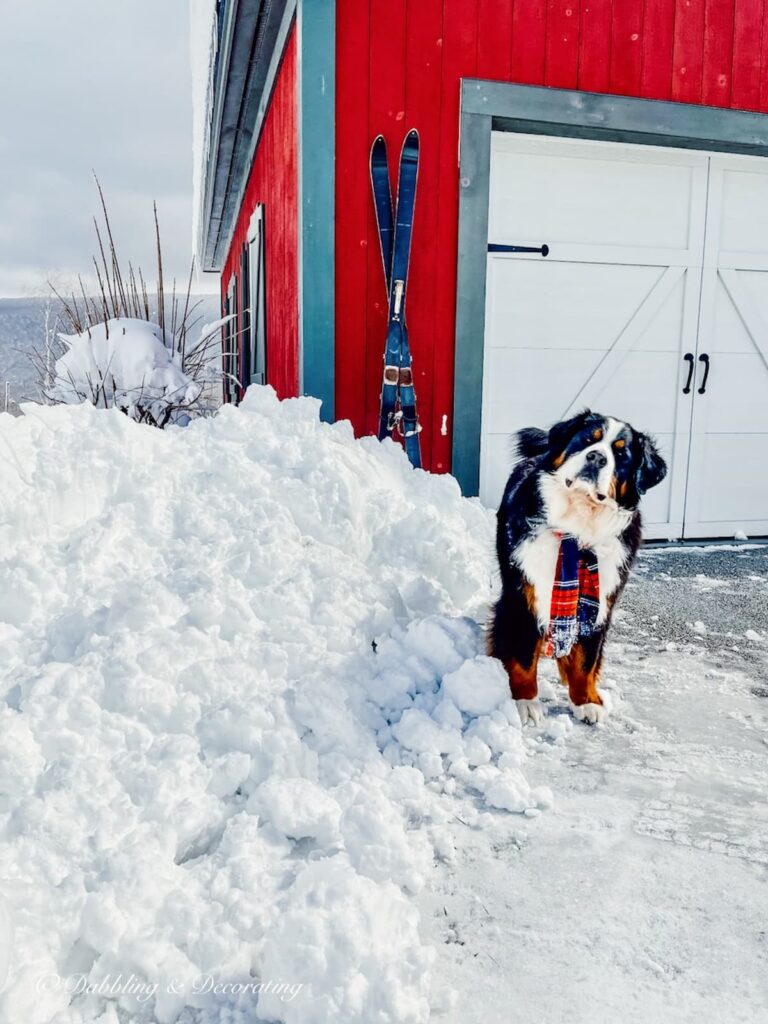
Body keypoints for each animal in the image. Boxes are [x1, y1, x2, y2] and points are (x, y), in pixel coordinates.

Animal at [489, 409, 671, 729]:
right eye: (588, 440)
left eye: (621, 454)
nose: (596, 457)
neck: (580, 524)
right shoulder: (525, 595)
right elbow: (523, 656)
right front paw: (525, 702)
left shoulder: (600, 603)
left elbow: (586, 658)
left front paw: (586, 701)